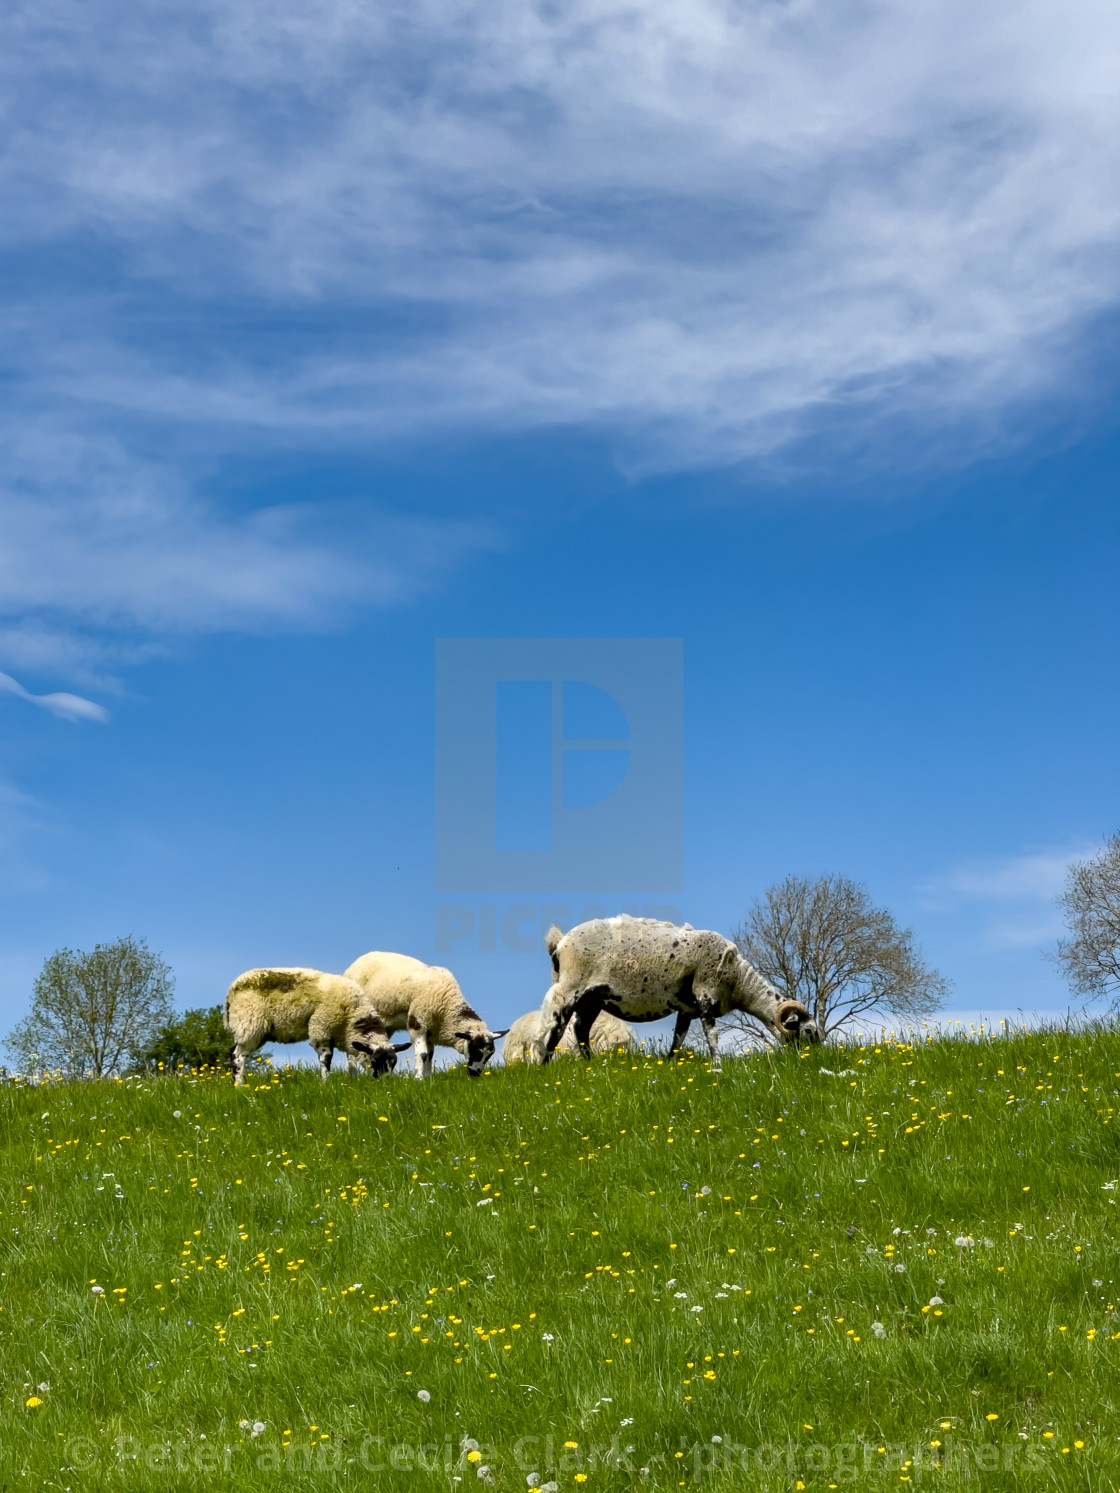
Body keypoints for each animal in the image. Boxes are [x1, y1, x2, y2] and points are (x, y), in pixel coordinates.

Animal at [222, 967, 409, 1086]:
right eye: (375, 1061)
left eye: (394, 1063)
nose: (386, 1084)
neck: (353, 1013)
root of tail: (230, 993)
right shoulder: (322, 1028)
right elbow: (326, 1059)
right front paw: (325, 1083)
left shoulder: (346, 1035)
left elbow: (351, 1062)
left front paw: (353, 1082)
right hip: (249, 1023)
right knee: (237, 1056)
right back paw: (239, 1086)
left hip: (256, 1031)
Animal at [341, 949, 507, 1080]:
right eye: (475, 1050)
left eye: (490, 1054)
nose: (476, 1074)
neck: (446, 1005)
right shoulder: (418, 1022)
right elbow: (422, 1054)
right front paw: (419, 1078)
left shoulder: (431, 1031)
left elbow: (430, 1055)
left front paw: (428, 1078)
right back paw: (354, 1077)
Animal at [540, 913, 818, 1068]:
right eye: (808, 1032)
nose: (814, 1059)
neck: (738, 981)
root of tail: (560, 943)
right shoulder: (705, 996)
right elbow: (712, 1035)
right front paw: (717, 1065)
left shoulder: (686, 1010)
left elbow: (678, 1039)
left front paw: (670, 1064)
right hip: (571, 988)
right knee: (558, 1026)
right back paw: (544, 1065)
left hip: (593, 999)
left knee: (581, 1029)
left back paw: (591, 1065)